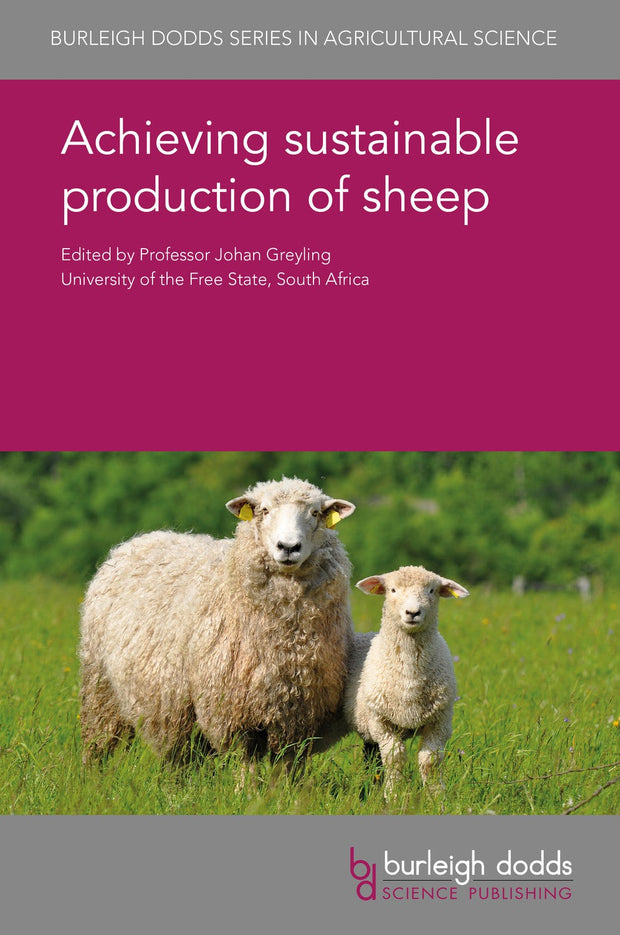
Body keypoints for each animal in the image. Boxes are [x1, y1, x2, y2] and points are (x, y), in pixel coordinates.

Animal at [78, 477, 356, 767]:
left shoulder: (298, 719)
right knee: (98, 745)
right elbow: (246, 766)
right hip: (100, 687)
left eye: (315, 513)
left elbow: (287, 769)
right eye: (264, 510)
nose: (288, 547)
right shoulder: (234, 715)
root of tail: (138, 540)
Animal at [343, 565, 469, 798]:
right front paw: (393, 795)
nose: (412, 612)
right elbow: (395, 758)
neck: (410, 679)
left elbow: (430, 761)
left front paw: (436, 797)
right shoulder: (381, 721)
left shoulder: (440, 721)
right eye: (392, 590)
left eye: (431, 590)